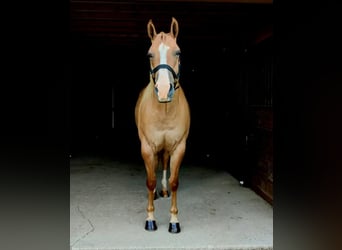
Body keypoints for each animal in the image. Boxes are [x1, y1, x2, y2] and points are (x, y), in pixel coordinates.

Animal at [135, 16, 191, 233]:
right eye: (150, 54)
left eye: (178, 52)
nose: (164, 90)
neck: (164, 110)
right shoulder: (148, 147)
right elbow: (150, 181)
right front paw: (150, 219)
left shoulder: (178, 147)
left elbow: (175, 181)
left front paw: (174, 221)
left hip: (167, 148)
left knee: (164, 163)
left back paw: (164, 190)